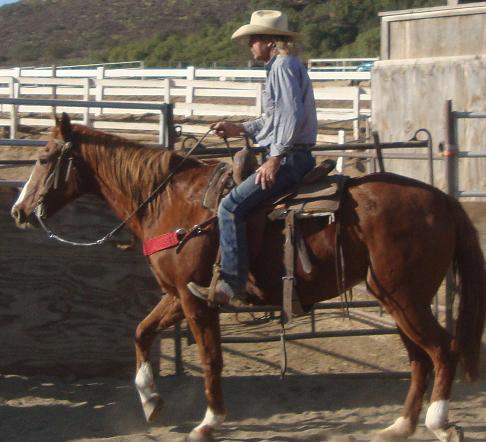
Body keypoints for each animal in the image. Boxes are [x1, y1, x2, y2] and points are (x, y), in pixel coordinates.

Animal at [9, 115, 484, 442]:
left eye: (43, 158)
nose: (18, 211)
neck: (167, 200)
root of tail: (442, 200)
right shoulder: (177, 295)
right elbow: (141, 332)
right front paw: (151, 401)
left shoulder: (197, 301)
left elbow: (210, 359)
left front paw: (209, 421)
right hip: (395, 296)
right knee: (420, 357)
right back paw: (400, 426)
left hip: (405, 296)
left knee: (441, 350)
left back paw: (440, 422)